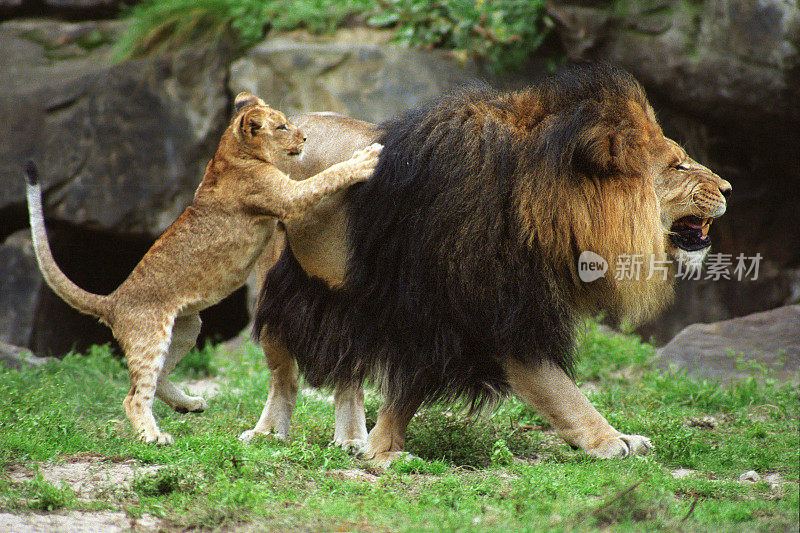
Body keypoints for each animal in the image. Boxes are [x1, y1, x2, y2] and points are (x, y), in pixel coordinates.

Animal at [250, 63, 732, 466]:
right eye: (678, 165)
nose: (728, 187)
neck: (546, 211)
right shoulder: (489, 315)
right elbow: (559, 389)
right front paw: (608, 440)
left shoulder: (466, 317)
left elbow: (410, 392)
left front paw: (379, 447)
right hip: (278, 284)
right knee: (283, 376)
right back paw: (269, 434)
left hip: (348, 298)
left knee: (347, 371)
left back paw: (351, 439)